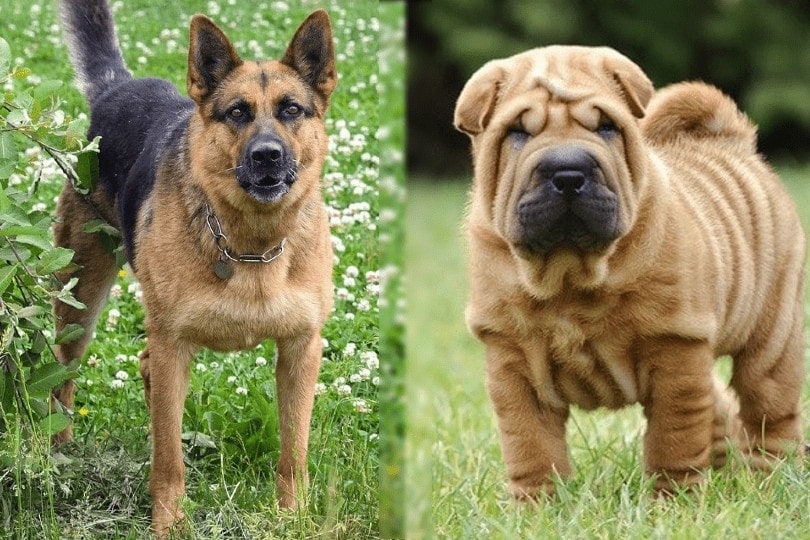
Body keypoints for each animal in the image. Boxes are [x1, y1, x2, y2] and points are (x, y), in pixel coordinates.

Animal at [54, 0, 334, 532]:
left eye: (291, 109)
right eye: (237, 112)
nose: (267, 156)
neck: (251, 245)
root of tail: (118, 88)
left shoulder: (300, 351)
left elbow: (295, 452)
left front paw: (293, 518)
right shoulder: (175, 346)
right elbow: (167, 461)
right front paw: (168, 525)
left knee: (143, 371)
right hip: (80, 300)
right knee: (64, 378)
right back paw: (59, 451)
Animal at [454, 46, 800, 498]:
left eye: (606, 127)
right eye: (518, 132)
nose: (568, 172)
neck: (569, 274)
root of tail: (731, 141)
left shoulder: (675, 346)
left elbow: (673, 437)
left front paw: (674, 500)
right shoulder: (511, 360)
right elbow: (530, 444)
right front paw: (538, 504)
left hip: (773, 333)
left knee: (768, 407)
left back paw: (774, 477)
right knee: (720, 404)